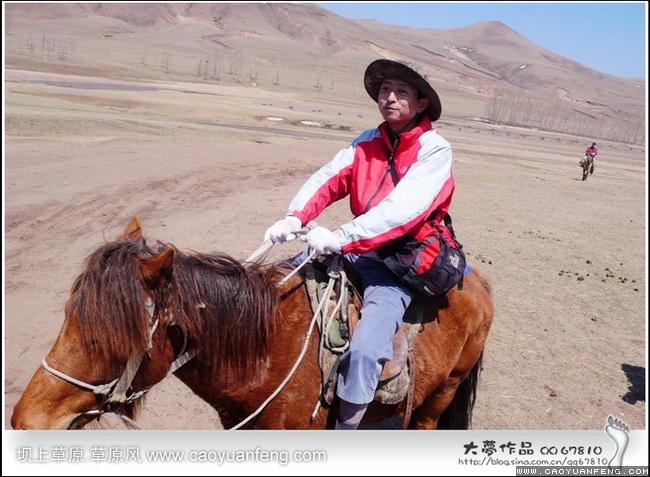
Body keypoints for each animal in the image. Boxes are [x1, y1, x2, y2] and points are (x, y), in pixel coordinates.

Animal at [11, 218, 492, 430]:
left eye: (112, 335)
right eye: (69, 316)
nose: (25, 420)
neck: (265, 353)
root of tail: (476, 279)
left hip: (441, 394)